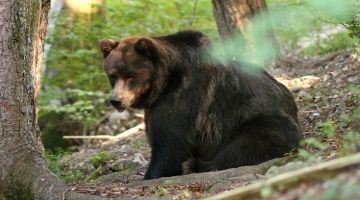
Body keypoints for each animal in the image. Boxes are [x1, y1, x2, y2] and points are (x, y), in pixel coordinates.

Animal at [100, 30, 302, 180]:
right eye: (112, 75)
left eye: (130, 75)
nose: (116, 100)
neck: (165, 83)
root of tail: (291, 102)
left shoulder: (182, 99)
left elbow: (170, 145)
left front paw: (152, 174)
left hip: (259, 119)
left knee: (255, 141)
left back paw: (193, 165)